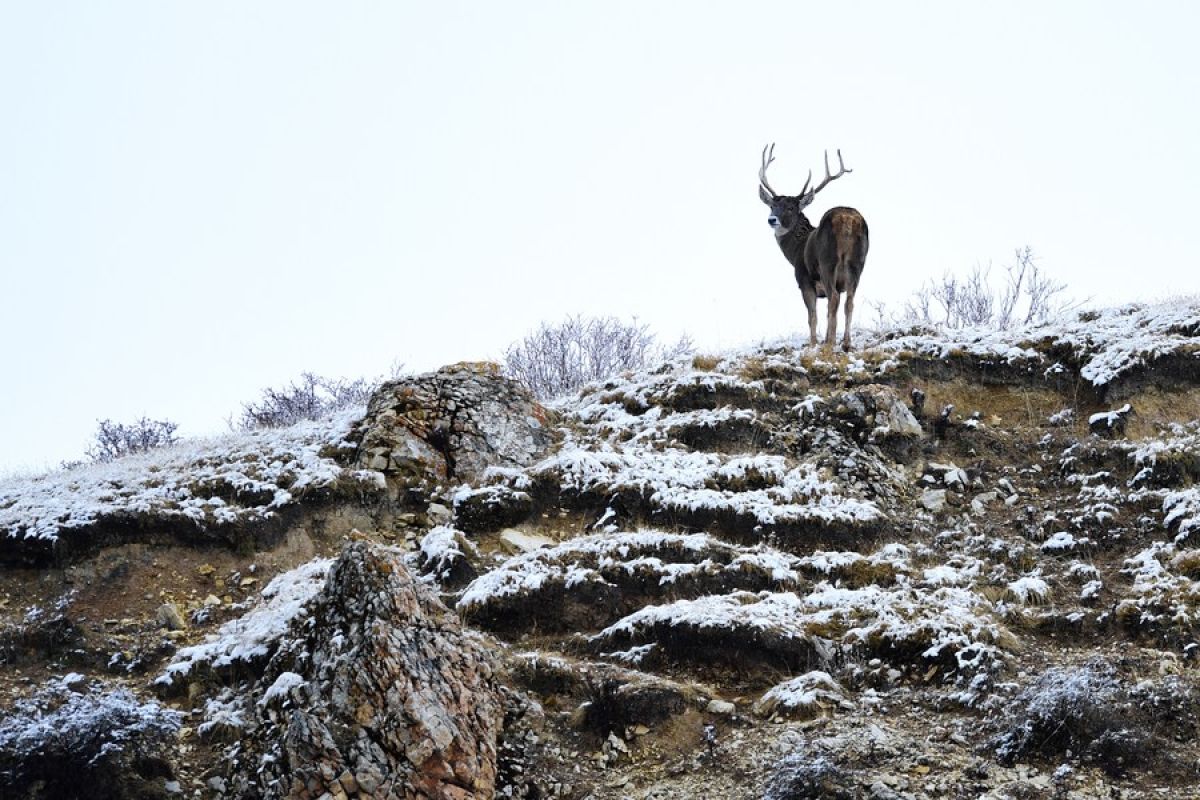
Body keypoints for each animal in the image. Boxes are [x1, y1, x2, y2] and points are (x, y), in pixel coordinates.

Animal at [763, 145, 868, 352]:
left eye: (791, 208)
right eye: (772, 205)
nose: (772, 219)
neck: (796, 250)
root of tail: (847, 220)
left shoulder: (804, 280)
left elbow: (812, 316)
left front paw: (813, 344)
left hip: (828, 262)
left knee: (834, 298)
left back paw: (830, 343)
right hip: (858, 263)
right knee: (849, 301)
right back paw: (846, 343)